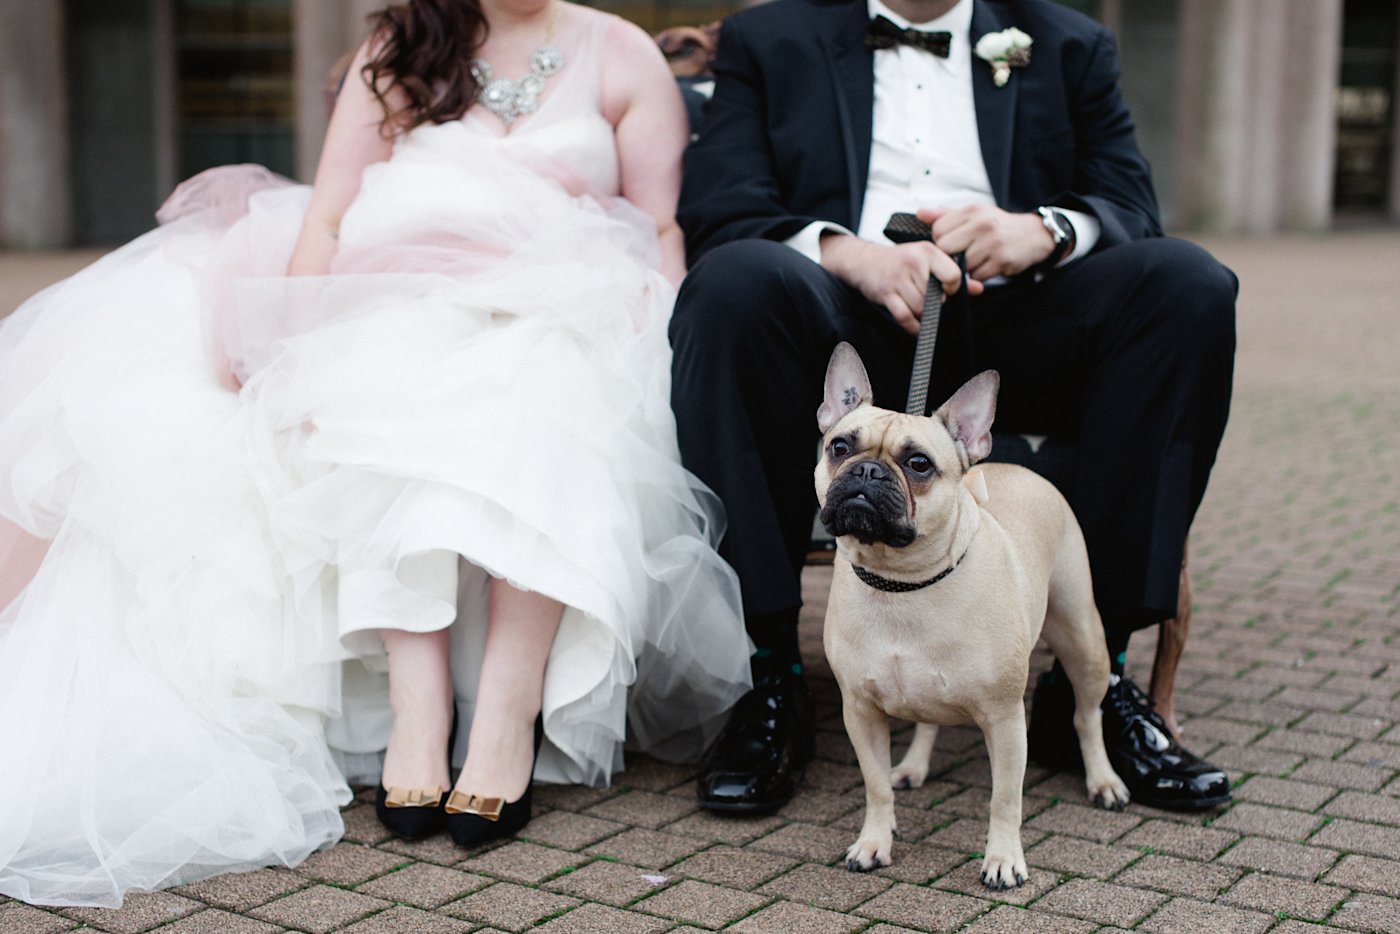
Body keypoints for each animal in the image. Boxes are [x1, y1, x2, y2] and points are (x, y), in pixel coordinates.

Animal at [817, 345, 1131, 890]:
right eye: (839, 446)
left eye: (918, 463)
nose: (867, 472)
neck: (902, 583)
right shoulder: (860, 711)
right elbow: (876, 787)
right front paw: (874, 842)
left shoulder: (1005, 720)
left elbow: (1005, 798)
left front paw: (1003, 860)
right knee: (927, 722)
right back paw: (913, 767)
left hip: (1083, 639)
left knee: (1086, 715)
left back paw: (1103, 780)